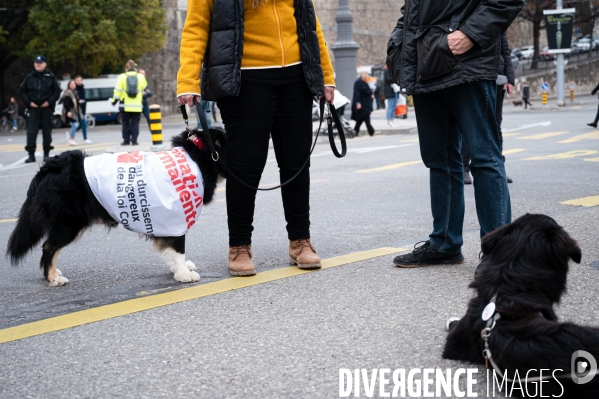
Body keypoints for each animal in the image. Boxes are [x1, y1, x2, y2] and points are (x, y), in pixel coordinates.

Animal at [6, 130, 227, 290]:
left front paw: (179, 269)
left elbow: (170, 251)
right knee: (49, 247)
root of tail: (52, 166)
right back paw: (52, 278)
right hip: (69, 223)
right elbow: (178, 249)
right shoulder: (174, 218)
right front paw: (184, 274)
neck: (195, 158)